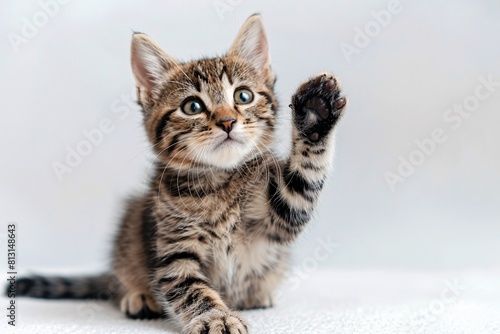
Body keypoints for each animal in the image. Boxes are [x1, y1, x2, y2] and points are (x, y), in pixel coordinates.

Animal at [12, 15, 348, 334]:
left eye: (243, 96)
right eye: (193, 106)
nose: (227, 121)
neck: (217, 183)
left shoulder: (279, 215)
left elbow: (302, 182)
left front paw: (315, 113)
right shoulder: (175, 250)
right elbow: (191, 289)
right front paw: (216, 317)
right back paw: (138, 296)